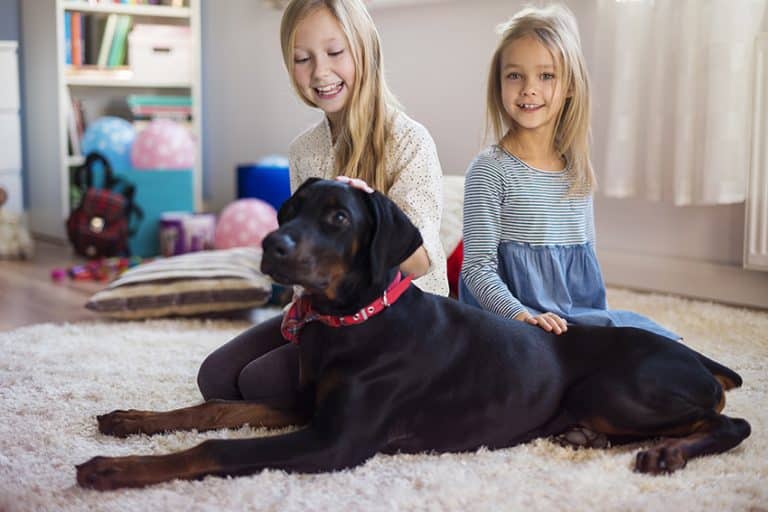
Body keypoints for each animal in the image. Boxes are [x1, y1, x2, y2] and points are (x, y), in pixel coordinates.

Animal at [76, 178, 752, 490]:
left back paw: (667, 452)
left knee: (730, 421)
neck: (351, 324)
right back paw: (588, 437)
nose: (271, 244)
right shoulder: (305, 406)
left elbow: (217, 447)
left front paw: (113, 470)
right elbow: (214, 408)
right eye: (287, 211)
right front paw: (130, 420)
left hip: (619, 388)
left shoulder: (333, 442)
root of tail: (703, 361)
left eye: (337, 217)